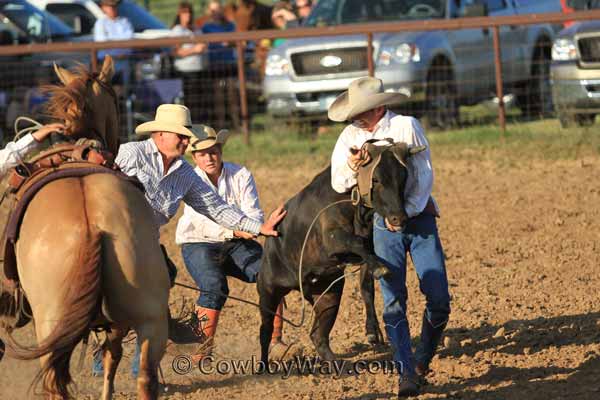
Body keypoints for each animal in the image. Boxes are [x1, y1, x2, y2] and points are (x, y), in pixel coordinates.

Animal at [0, 57, 169, 400]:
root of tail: (93, 226)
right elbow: (111, 354)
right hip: (151, 317)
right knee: (144, 377)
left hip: (50, 326)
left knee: (56, 383)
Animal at [258, 142, 426, 364]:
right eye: (376, 179)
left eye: (403, 177)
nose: (399, 218)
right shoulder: (332, 238)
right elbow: (355, 242)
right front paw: (381, 268)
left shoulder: (366, 251)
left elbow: (367, 287)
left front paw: (373, 332)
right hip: (268, 292)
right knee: (265, 331)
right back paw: (263, 366)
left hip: (329, 296)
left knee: (318, 334)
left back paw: (336, 363)